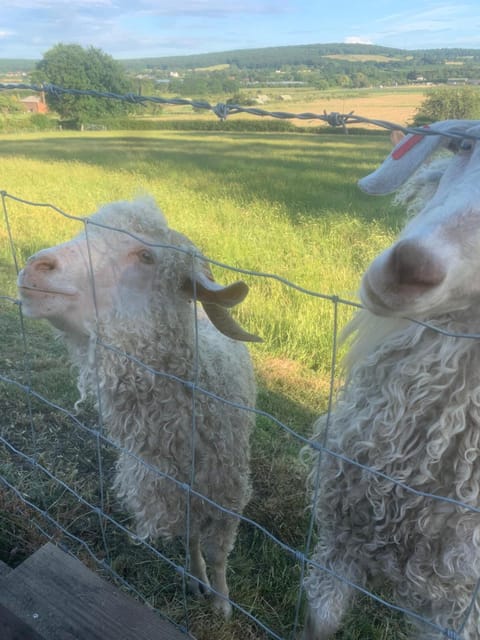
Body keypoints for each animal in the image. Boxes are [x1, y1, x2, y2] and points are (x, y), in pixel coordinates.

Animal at [16, 198, 260, 616]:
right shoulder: (177, 492)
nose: (35, 268)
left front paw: (222, 603)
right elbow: (191, 540)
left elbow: (217, 553)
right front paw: (196, 580)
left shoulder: (227, 493)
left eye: (147, 256)